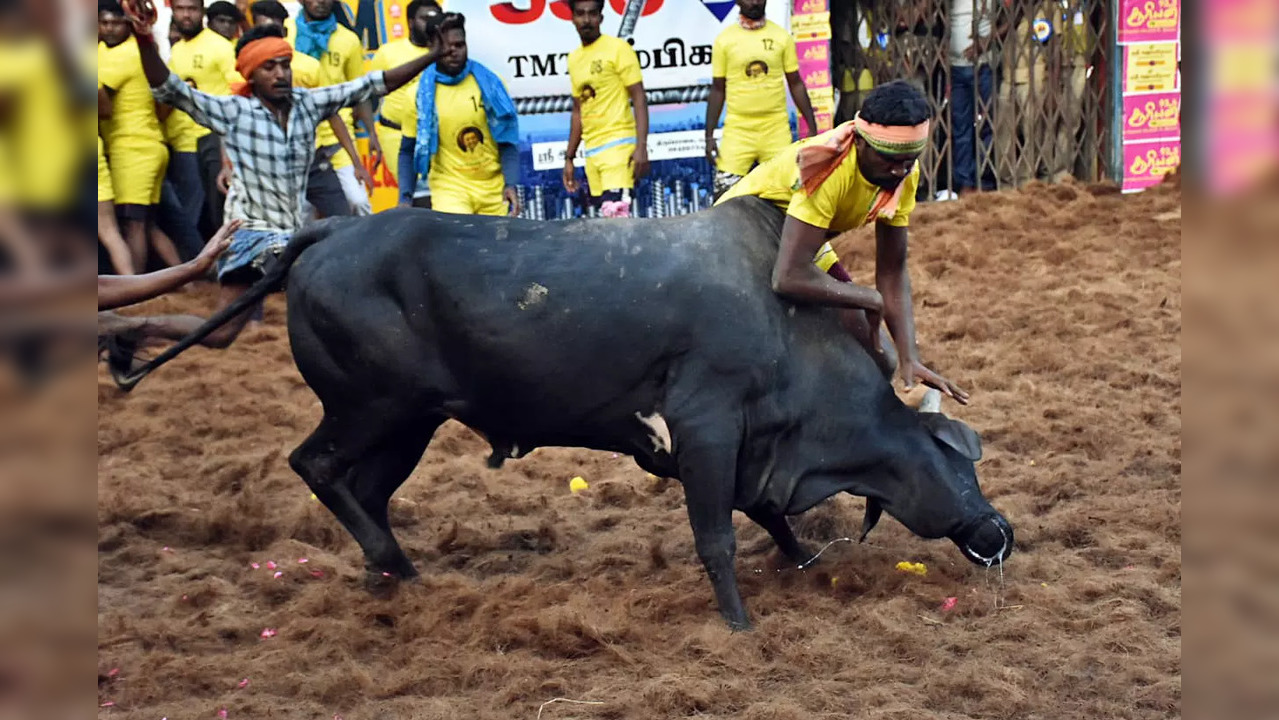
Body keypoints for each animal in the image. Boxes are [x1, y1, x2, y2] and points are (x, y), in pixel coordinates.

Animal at [124, 198, 1012, 631]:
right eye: (959, 462)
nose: (998, 533)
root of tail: (332, 230)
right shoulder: (706, 426)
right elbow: (718, 534)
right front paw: (738, 622)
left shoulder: (730, 446)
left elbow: (761, 510)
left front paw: (796, 559)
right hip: (370, 407)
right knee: (315, 465)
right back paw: (392, 563)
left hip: (410, 422)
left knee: (360, 487)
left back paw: (393, 570)